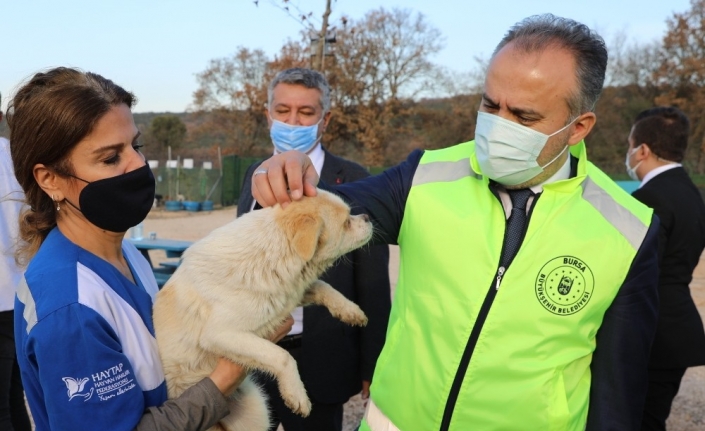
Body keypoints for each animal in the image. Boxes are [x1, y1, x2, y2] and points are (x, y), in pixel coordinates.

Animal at [153, 189, 374, 431]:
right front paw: (297, 395)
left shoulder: (288, 295)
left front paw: (351, 311)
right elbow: (282, 355)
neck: (267, 254)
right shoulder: (220, 334)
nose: (367, 217)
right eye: (346, 223)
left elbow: (323, 286)